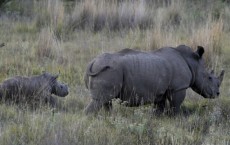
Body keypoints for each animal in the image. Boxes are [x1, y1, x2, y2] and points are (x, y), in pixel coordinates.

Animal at [83, 44, 224, 115]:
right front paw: (178, 119)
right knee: (100, 100)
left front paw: (159, 119)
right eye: (209, 77)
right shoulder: (178, 88)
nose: (217, 94)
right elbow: (176, 106)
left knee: (106, 101)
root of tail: (93, 62)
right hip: (108, 70)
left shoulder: (160, 91)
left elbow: (159, 108)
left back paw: (109, 119)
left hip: (107, 70)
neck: (192, 63)